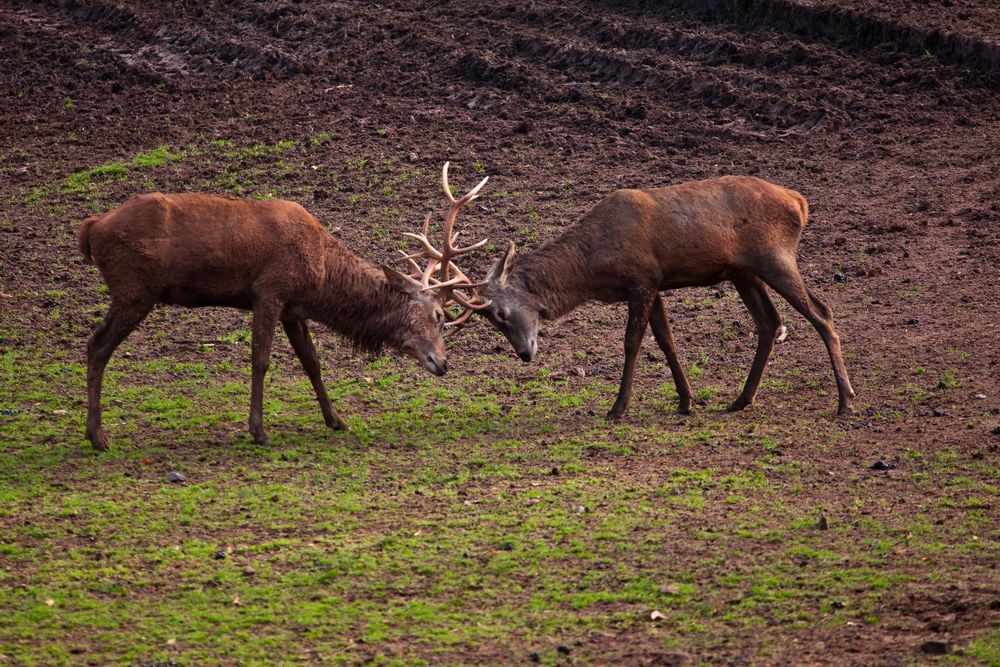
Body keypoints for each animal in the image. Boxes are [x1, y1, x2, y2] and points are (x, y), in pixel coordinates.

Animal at [77, 167, 488, 452]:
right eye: (438, 317)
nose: (443, 363)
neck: (322, 274)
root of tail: (91, 228)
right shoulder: (268, 292)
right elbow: (261, 359)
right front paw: (258, 430)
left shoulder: (294, 308)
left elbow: (312, 361)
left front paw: (336, 420)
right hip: (134, 291)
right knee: (97, 346)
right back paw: (98, 436)